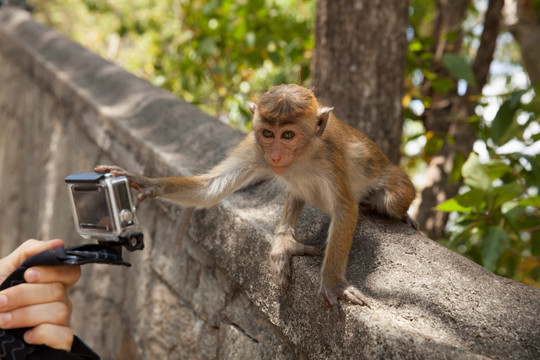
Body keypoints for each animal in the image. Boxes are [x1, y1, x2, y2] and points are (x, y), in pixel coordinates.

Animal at [96, 83, 418, 316]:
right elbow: (210, 188)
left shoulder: (331, 155)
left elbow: (345, 208)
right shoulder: (255, 146)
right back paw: (284, 241)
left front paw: (333, 283)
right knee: (297, 192)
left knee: (391, 197)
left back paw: (399, 213)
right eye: (267, 133)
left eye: (287, 135)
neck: (302, 155)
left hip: (392, 180)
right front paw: (146, 182)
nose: (274, 155)